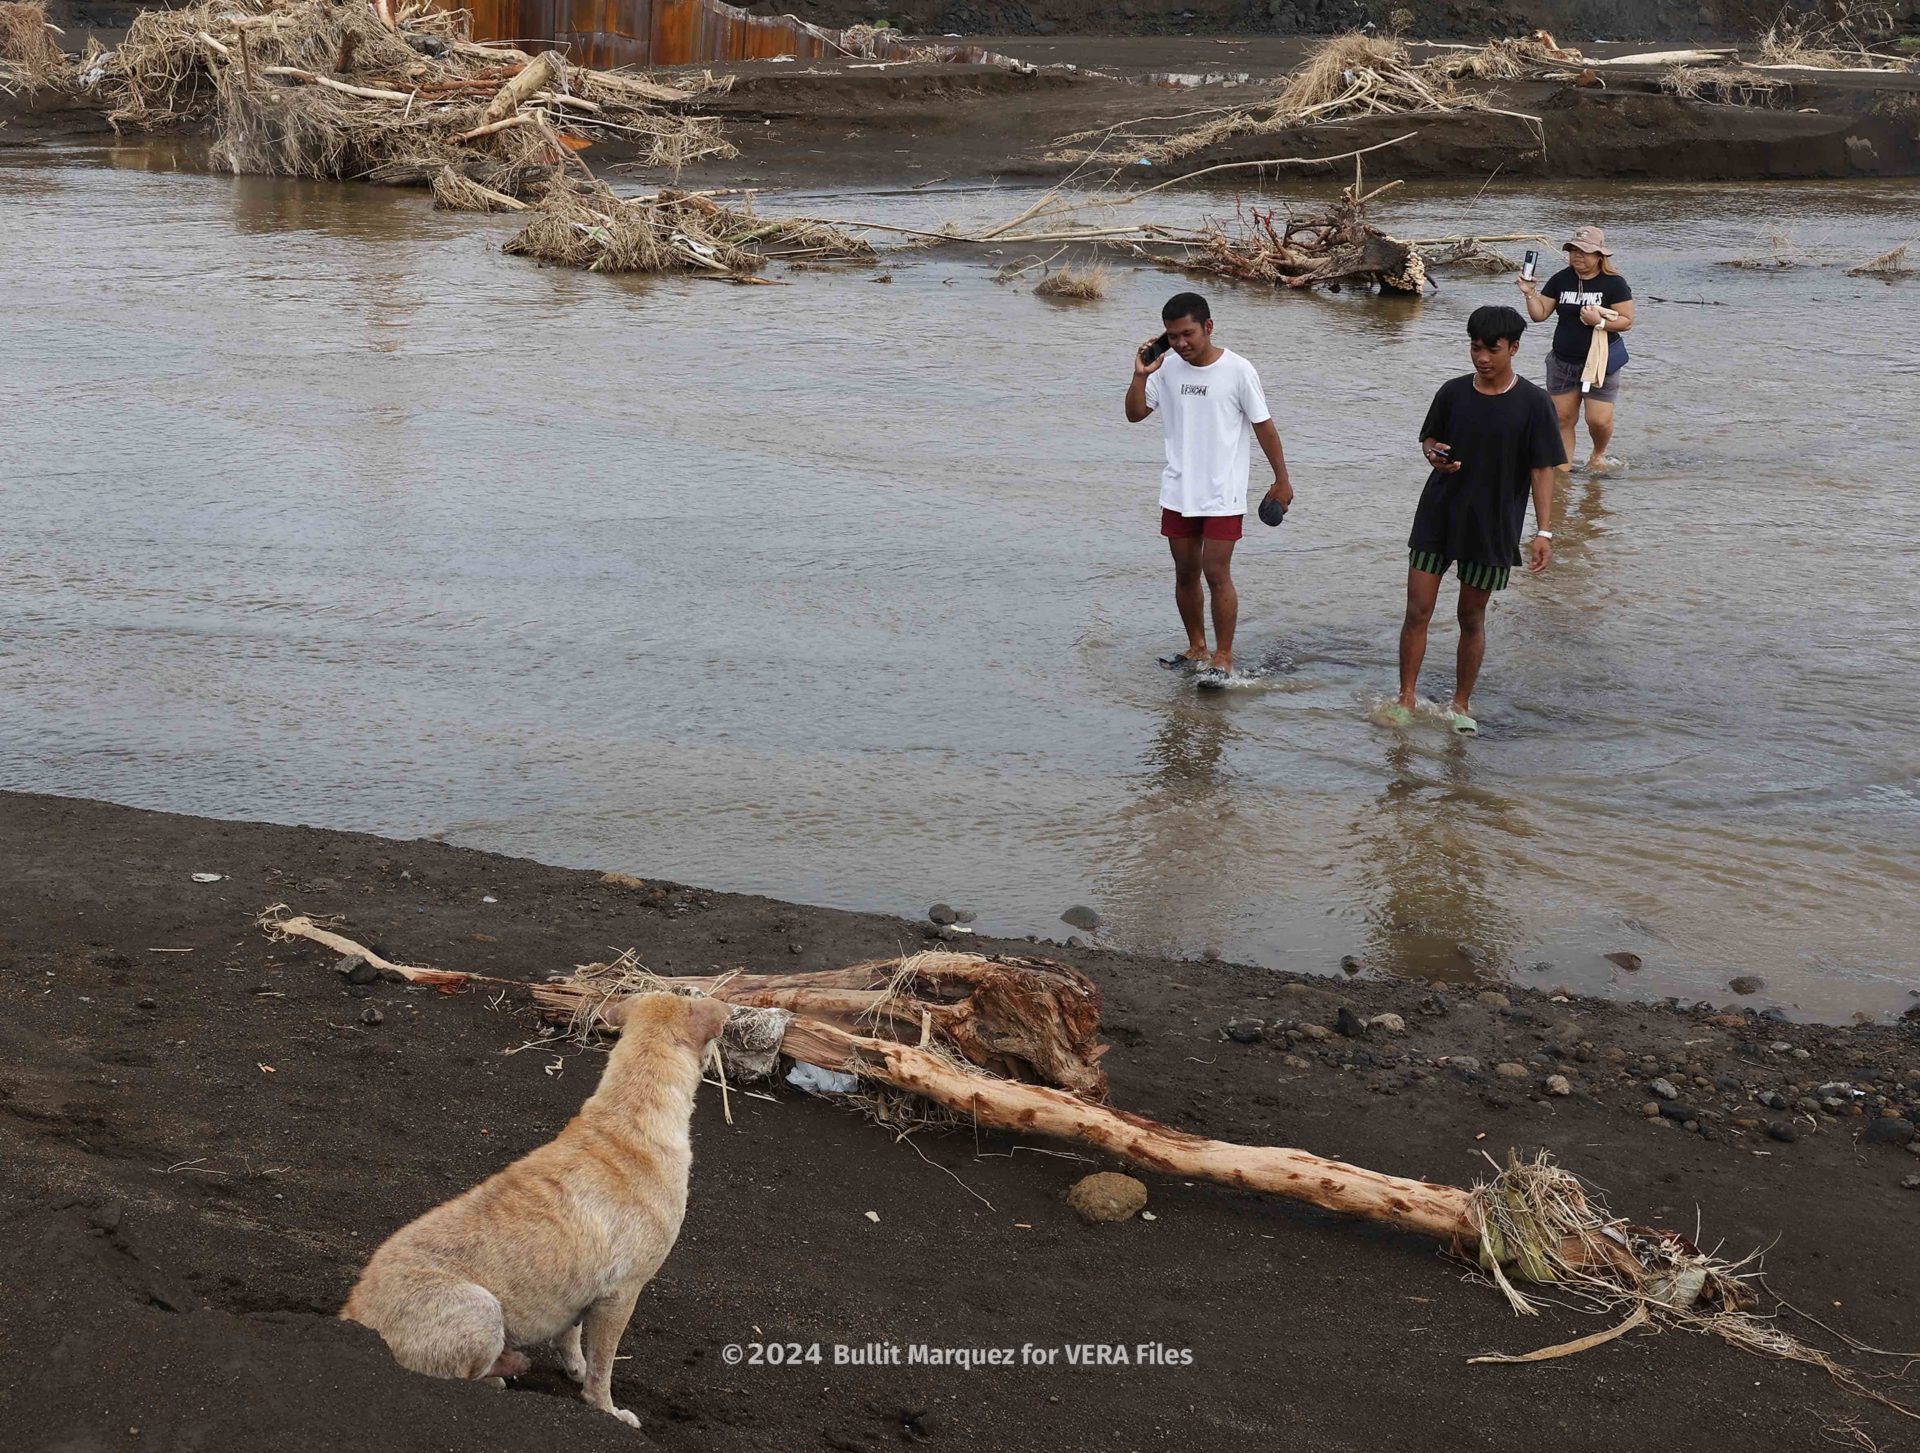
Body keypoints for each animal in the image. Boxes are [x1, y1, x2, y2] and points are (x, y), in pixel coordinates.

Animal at [341, 990, 729, 1420]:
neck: (628, 1112)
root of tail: (353, 1315)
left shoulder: (581, 1285)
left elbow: (572, 1336)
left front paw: (576, 1368)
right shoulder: (622, 1295)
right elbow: (603, 1368)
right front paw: (607, 1409)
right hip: (481, 1309)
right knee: (464, 1377)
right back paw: (503, 1370)